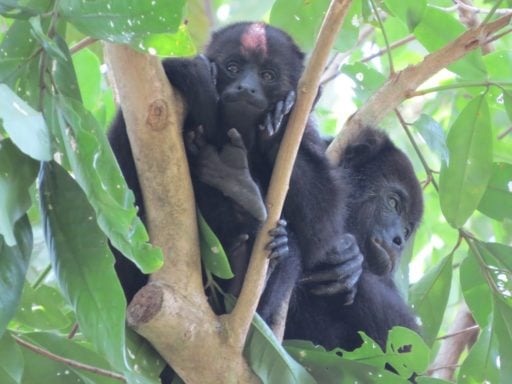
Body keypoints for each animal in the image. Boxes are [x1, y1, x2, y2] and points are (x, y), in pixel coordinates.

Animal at [109, 21, 362, 328]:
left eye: (267, 75)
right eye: (232, 68)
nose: (246, 88)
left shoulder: (308, 136)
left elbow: (321, 229)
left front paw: (279, 126)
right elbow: (122, 191)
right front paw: (196, 80)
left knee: (293, 248)